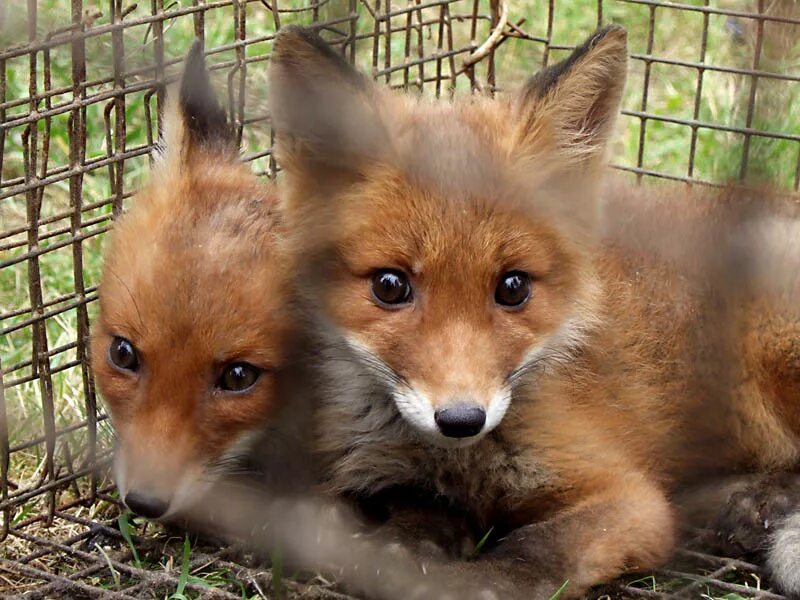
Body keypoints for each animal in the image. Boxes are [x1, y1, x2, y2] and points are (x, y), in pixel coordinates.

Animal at [268, 25, 800, 599]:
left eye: (513, 287)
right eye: (390, 286)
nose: (461, 419)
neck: (460, 460)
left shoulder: (629, 498)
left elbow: (539, 549)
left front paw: (470, 581)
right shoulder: (386, 468)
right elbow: (417, 504)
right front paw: (410, 540)